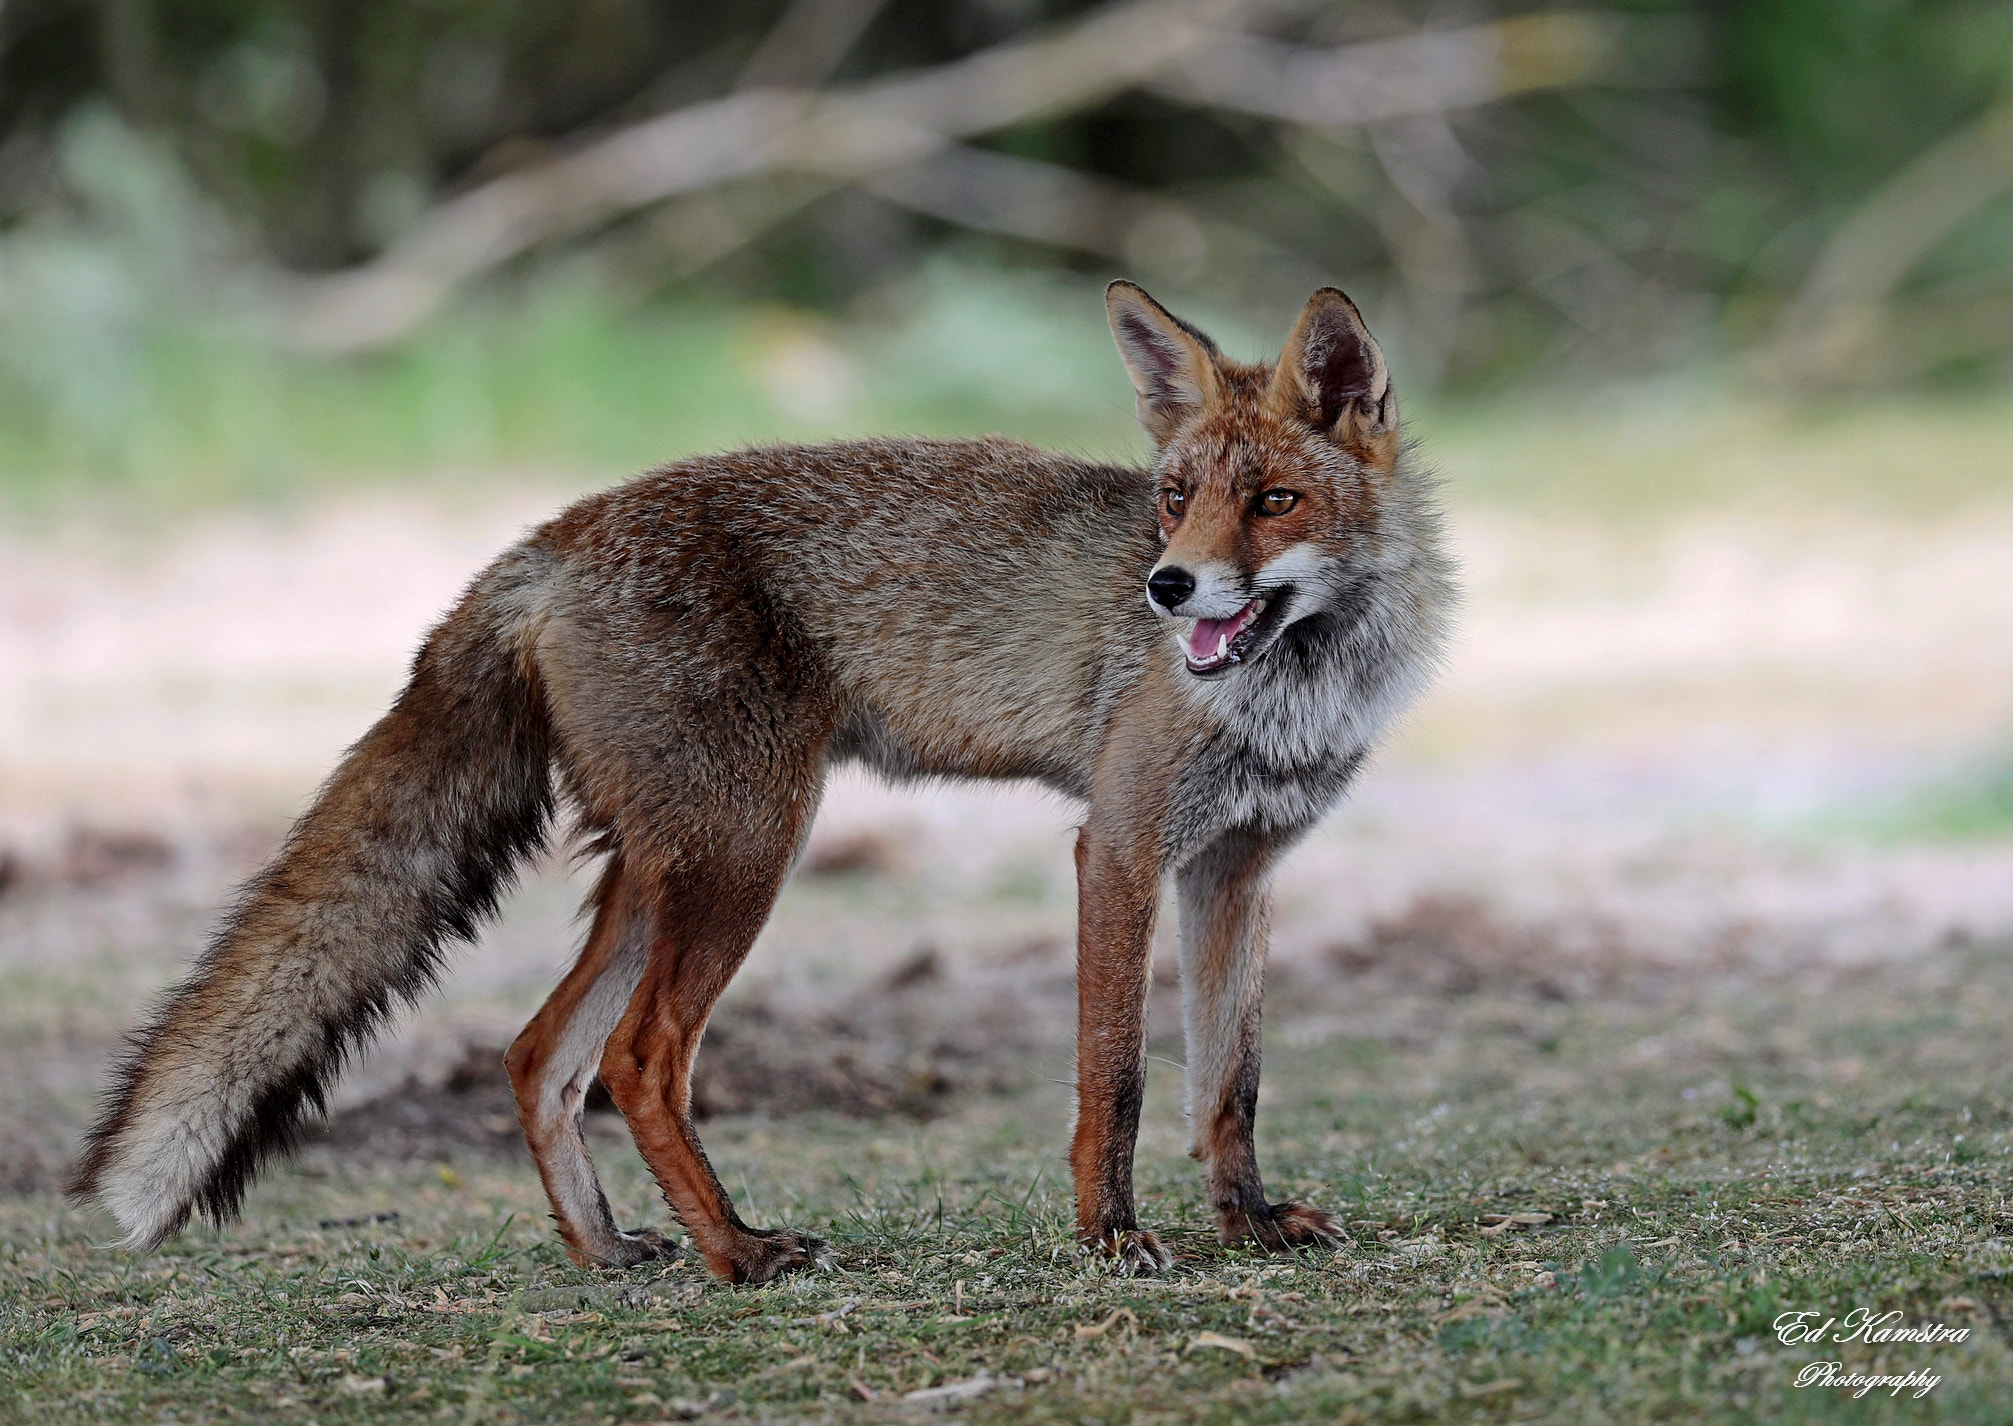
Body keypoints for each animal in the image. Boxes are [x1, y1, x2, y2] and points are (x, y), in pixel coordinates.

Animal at [70, 281, 1452, 1282]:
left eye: (1272, 502)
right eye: (1172, 502)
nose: (1167, 589)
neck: (1294, 694)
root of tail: (552, 533)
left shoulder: (1237, 866)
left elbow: (1233, 1081)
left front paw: (1250, 1222)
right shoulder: (1117, 845)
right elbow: (1115, 1075)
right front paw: (1109, 1236)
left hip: (666, 867)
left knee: (538, 1051)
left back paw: (611, 1249)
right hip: (747, 851)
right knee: (637, 1059)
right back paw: (735, 1250)